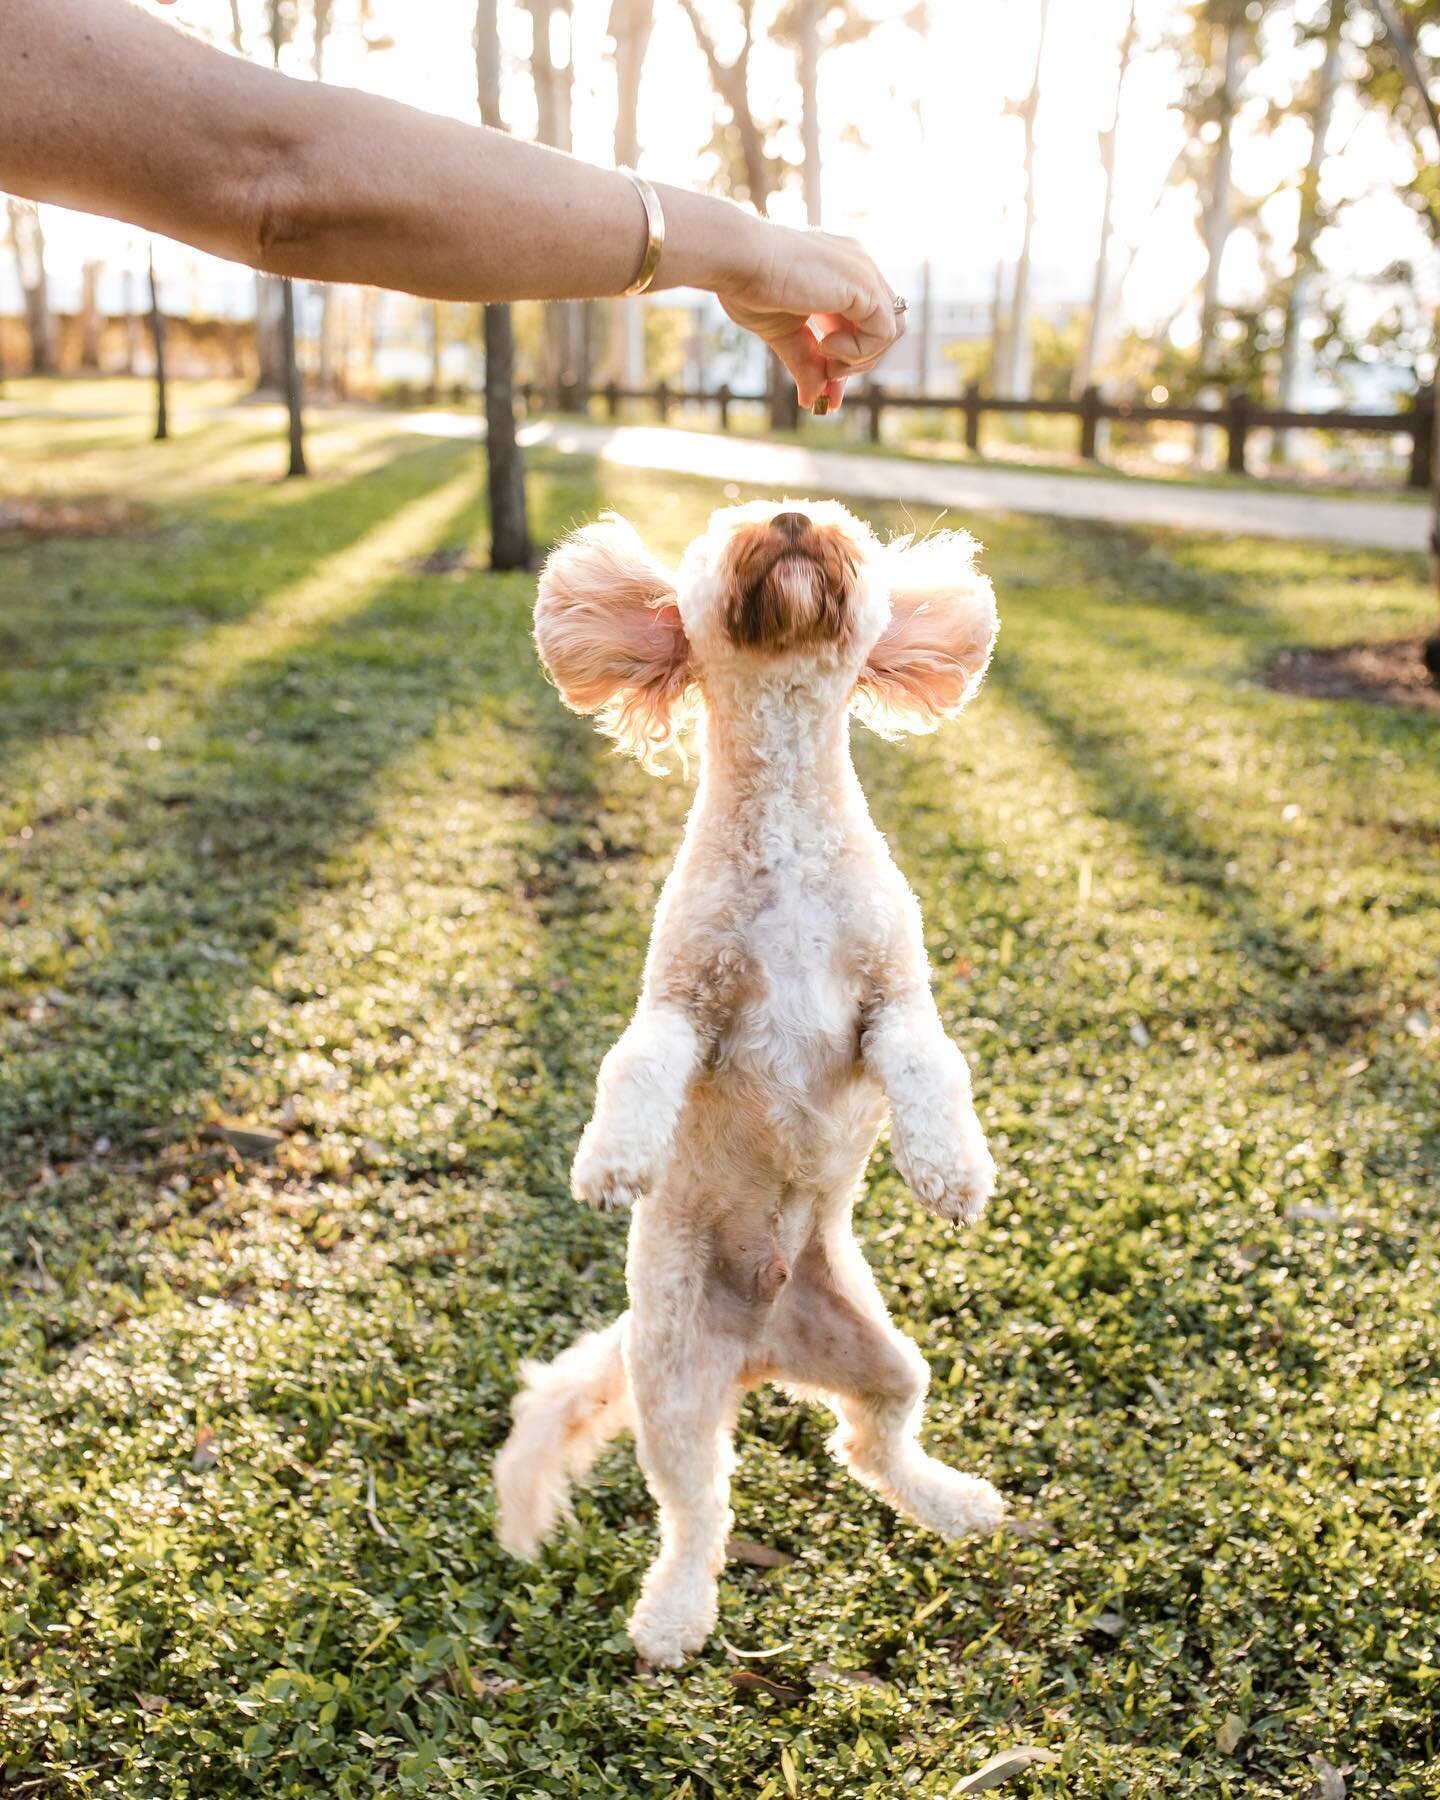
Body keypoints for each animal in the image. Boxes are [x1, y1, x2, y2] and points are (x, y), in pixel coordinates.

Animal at [496, 500, 1000, 1663]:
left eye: (848, 525)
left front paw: (948, 1169)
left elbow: (931, 1064)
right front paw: (612, 1160)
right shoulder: (686, 1004)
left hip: (881, 1356)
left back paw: (951, 1500)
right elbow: (636, 1065)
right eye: (722, 530)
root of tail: (765, 1352)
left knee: (872, 1443)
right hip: (675, 1390)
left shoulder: (892, 998)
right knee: (700, 1511)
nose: (792, 515)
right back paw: (673, 1615)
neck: (788, 848)